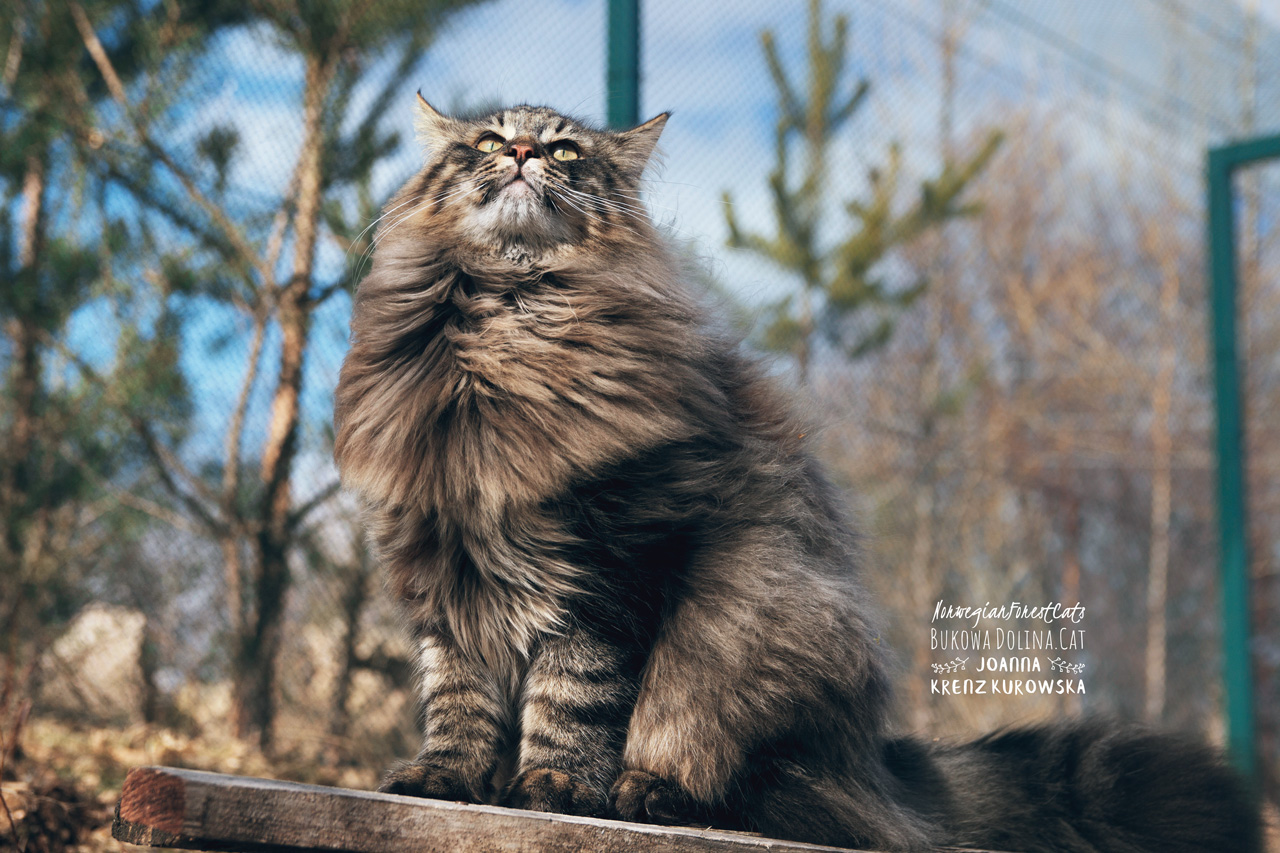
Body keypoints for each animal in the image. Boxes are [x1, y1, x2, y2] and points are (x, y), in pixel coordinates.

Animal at [332, 96, 1262, 852]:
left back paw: (648, 794)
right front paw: (447, 781)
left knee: (746, 781)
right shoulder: (445, 565)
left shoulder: (608, 562)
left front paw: (554, 789)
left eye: (564, 151)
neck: (504, 333)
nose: (524, 153)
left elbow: (574, 698)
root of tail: (874, 763)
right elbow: (457, 700)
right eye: (488, 142)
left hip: (758, 624)